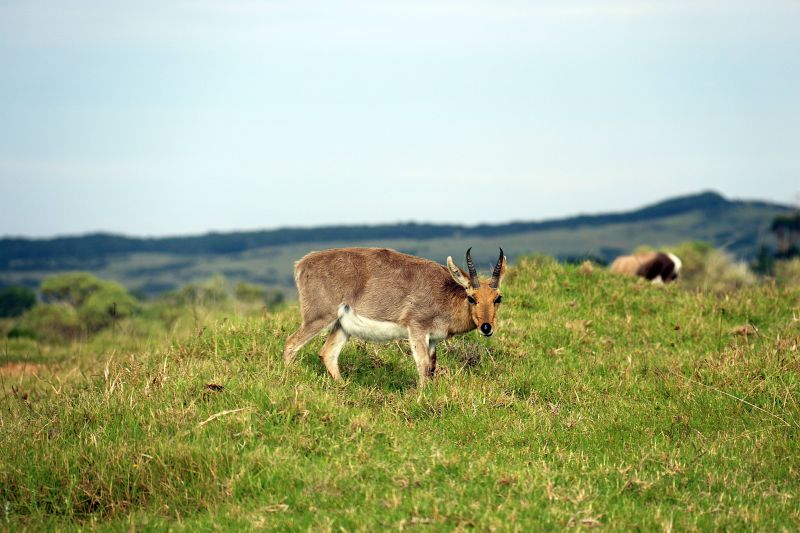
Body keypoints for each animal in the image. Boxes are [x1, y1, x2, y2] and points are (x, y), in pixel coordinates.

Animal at [282, 247, 506, 384]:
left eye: (498, 298)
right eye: (471, 297)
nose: (487, 327)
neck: (445, 293)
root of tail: (302, 264)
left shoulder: (432, 339)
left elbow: (432, 367)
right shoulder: (417, 329)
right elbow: (423, 365)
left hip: (342, 327)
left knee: (327, 353)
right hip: (318, 318)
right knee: (291, 343)